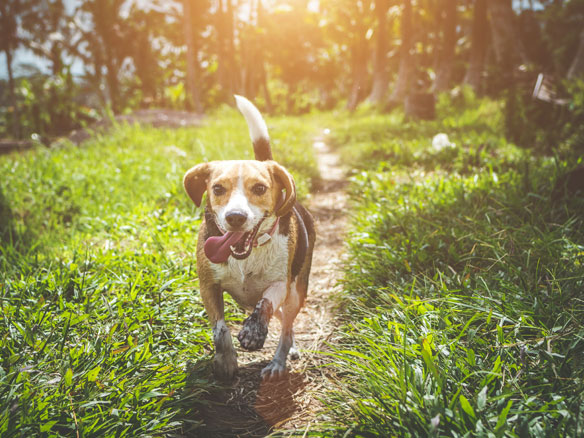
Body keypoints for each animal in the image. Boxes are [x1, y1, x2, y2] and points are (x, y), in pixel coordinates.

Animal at [185, 95, 318, 380]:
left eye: (259, 188)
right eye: (217, 188)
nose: (235, 217)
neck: (247, 256)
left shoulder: (281, 284)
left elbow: (265, 303)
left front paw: (254, 331)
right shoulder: (208, 286)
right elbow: (220, 329)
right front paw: (225, 360)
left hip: (296, 293)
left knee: (286, 327)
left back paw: (279, 361)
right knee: (283, 322)